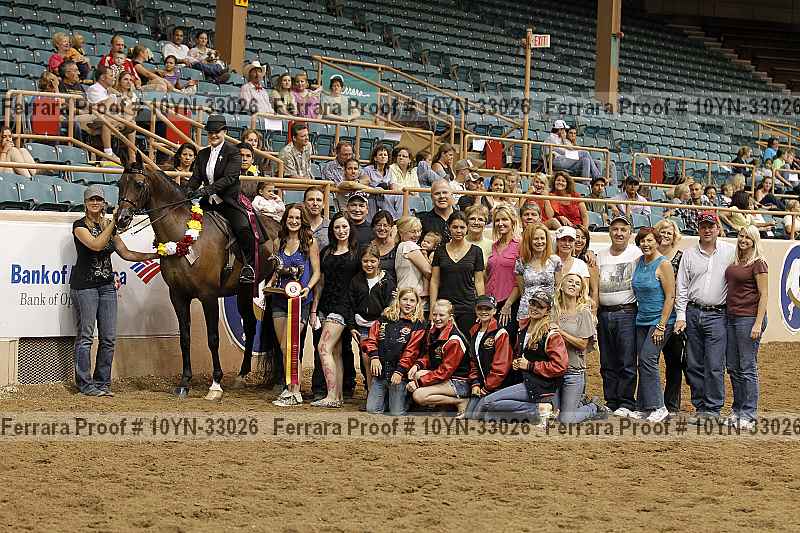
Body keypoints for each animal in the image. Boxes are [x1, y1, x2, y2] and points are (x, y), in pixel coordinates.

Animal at [115, 164, 280, 400]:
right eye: (119, 183)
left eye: (138, 184)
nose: (121, 218)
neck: (183, 235)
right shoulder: (178, 296)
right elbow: (185, 338)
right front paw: (185, 382)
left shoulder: (208, 296)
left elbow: (213, 338)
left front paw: (215, 384)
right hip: (243, 291)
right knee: (249, 325)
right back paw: (241, 375)